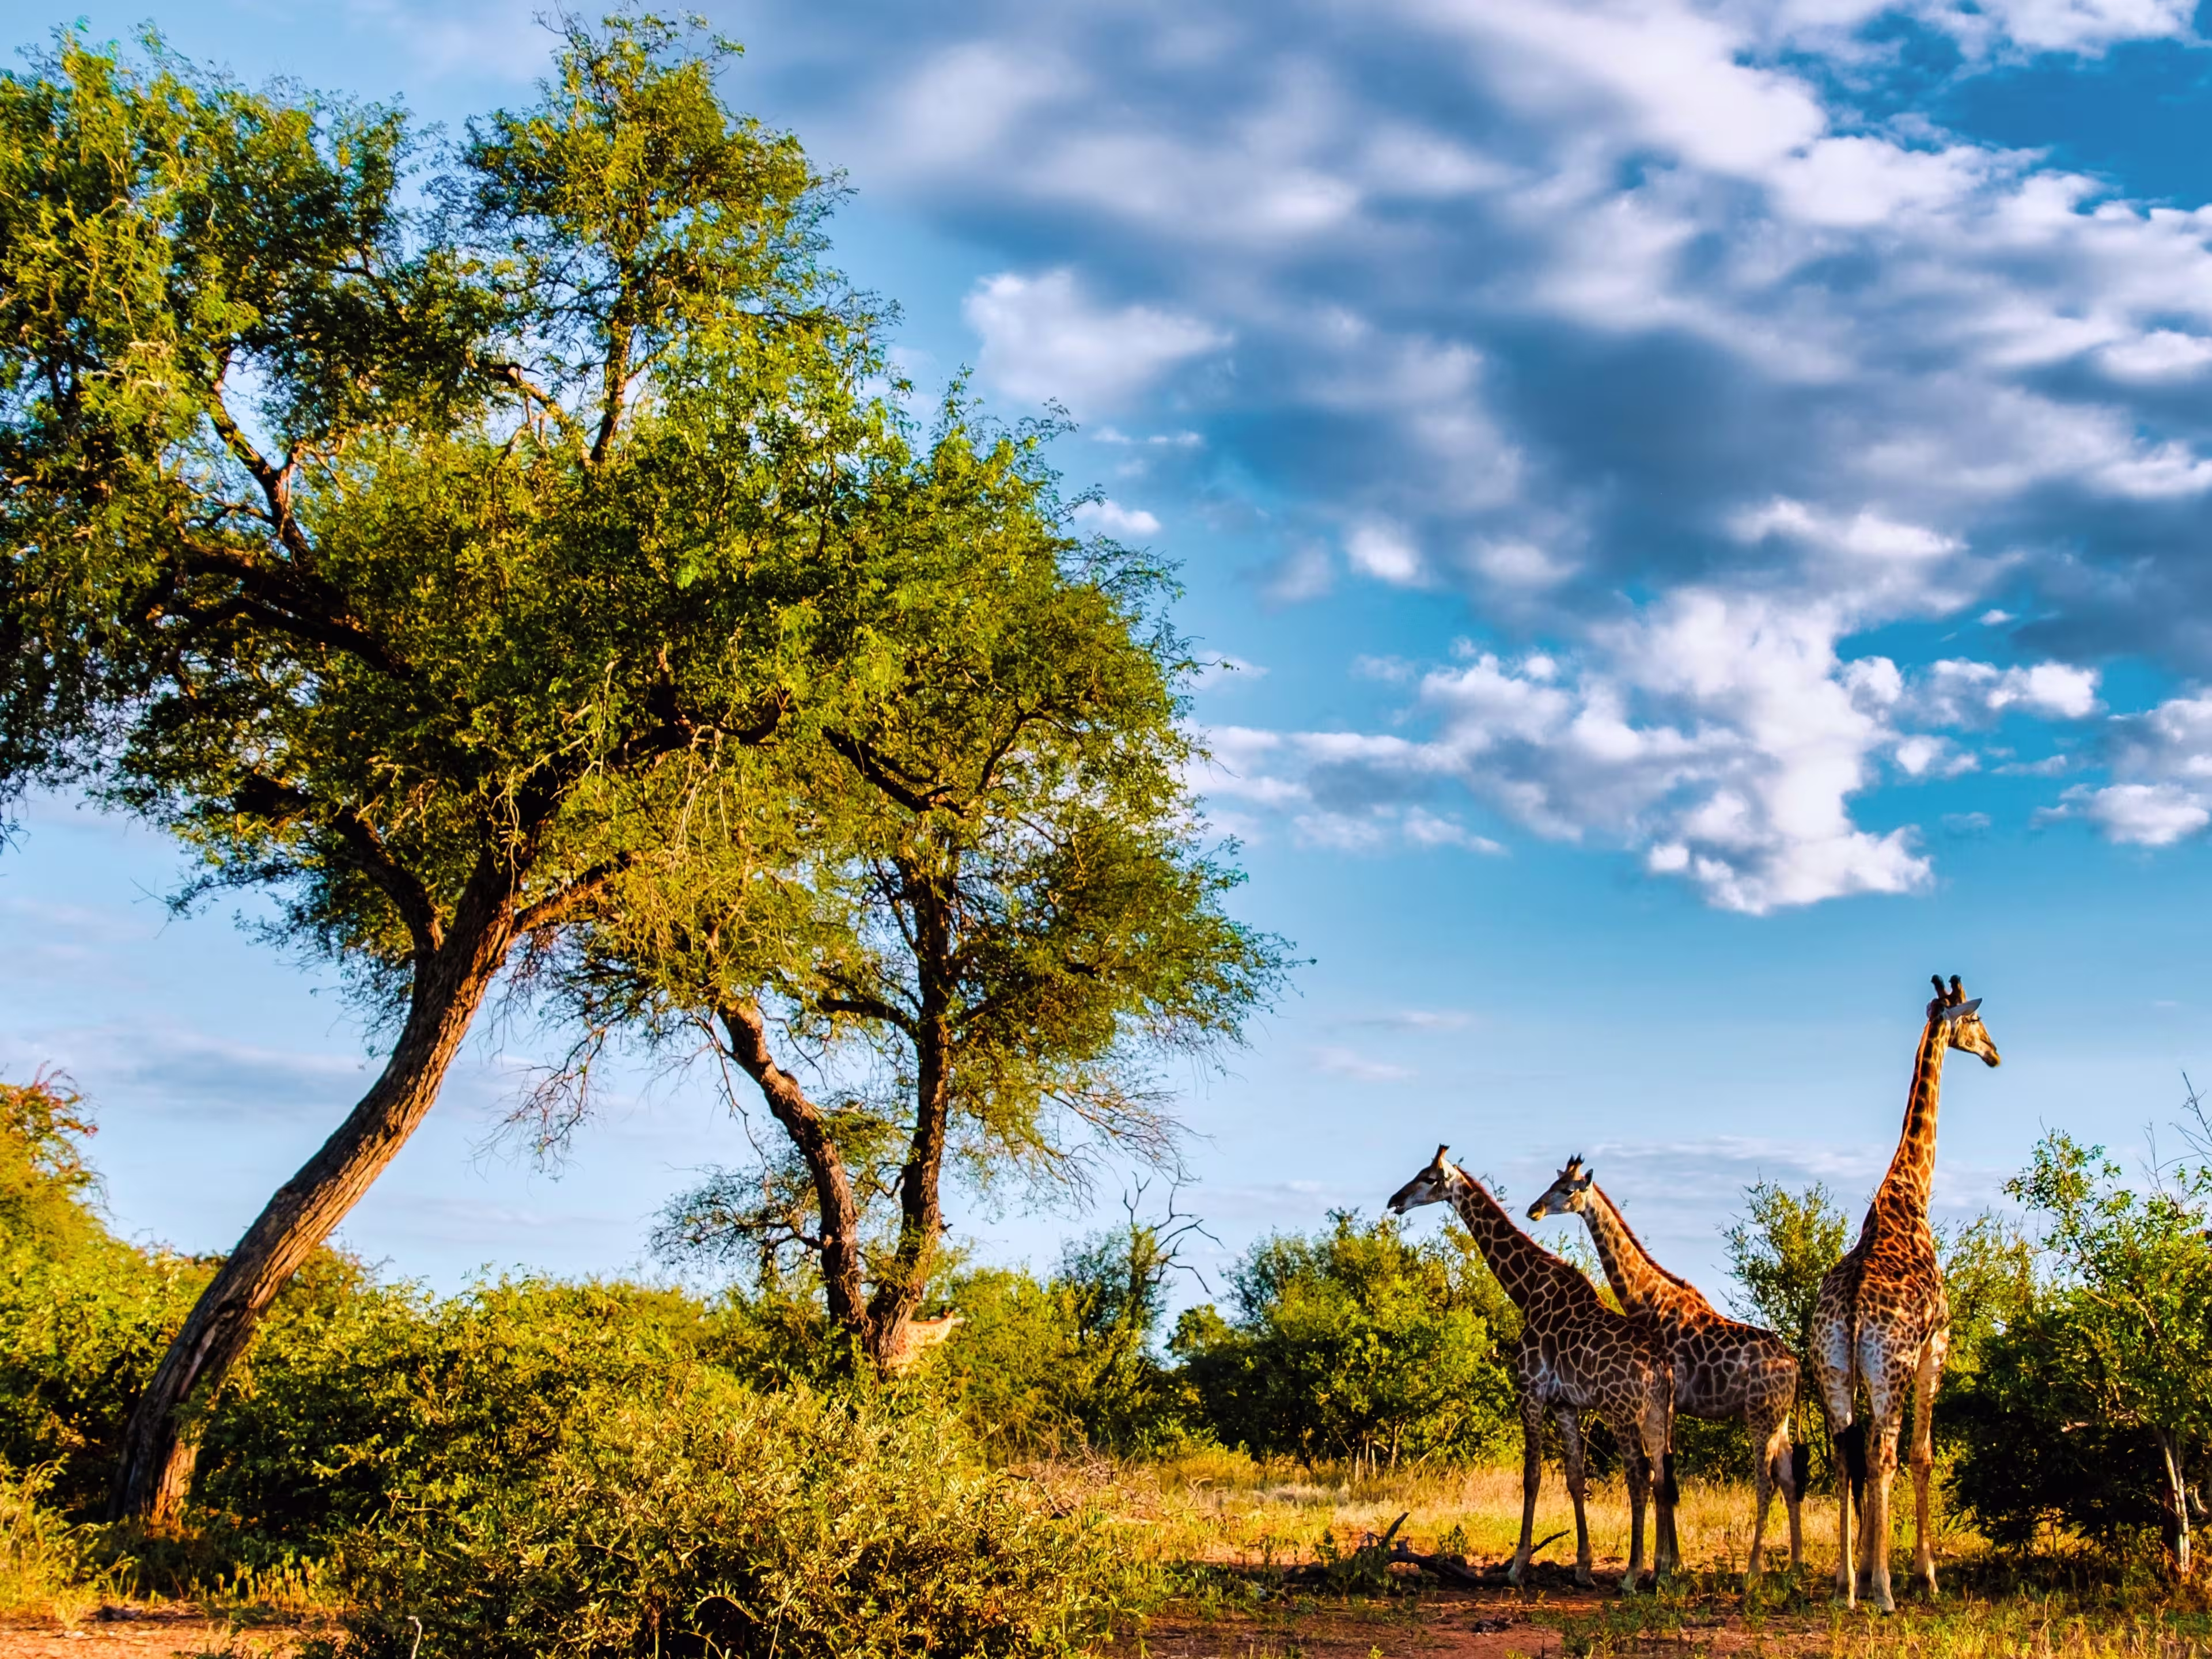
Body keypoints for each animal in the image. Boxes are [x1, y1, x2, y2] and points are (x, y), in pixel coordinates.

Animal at [1389, 1145, 1678, 1591]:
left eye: (1428, 1178)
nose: (1395, 1201)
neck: (1525, 1291)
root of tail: (1661, 1367)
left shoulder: (1530, 1390)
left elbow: (1532, 1475)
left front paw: (1517, 1566)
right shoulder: (1565, 1403)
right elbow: (1575, 1477)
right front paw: (1582, 1568)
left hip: (1621, 1410)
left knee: (1639, 1474)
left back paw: (1632, 1574)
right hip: (1656, 1413)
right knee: (1662, 1475)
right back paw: (1660, 1571)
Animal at [1527, 1157, 1803, 1586]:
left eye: (1568, 1190)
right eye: (1552, 1183)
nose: (1534, 1209)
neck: (1647, 1300)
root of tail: (1795, 1365)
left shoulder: (1667, 1401)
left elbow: (1663, 1480)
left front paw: (1663, 1568)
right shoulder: (1672, 1406)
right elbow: (1668, 1480)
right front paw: (1672, 1565)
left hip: (1761, 1416)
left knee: (1765, 1480)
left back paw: (1754, 1571)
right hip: (1781, 1419)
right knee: (1789, 1479)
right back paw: (1794, 1568)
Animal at [1813, 974, 2000, 1613]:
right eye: (1976, 1022)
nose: (1995, 1055)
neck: (1908, 1194)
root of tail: (1848, 1313)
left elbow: (1867, 1458)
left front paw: (1867, 1570)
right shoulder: (1935, 1347)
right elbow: (1922, 1456)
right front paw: (1923, 1575)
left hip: (1833, 1370)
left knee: (1847, 1453)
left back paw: (1847, 1586)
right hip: (1889, 1367)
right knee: (1885, 1455)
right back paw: (1886, 1591)